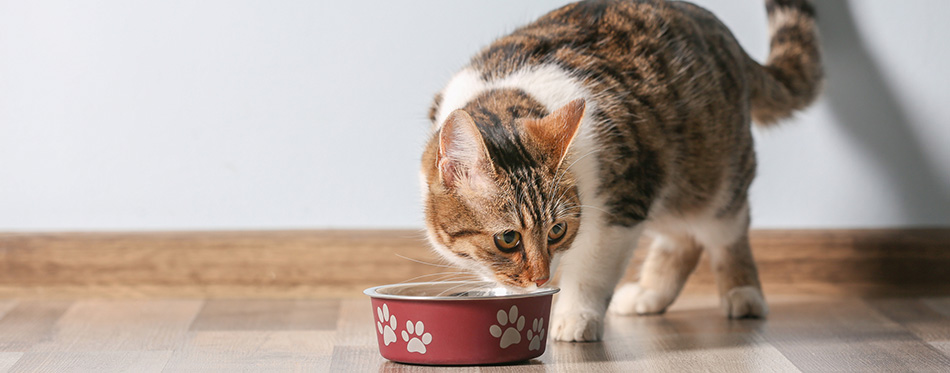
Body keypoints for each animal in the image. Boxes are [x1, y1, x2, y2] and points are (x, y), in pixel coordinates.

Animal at [420, 0, 820, 340]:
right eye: (507, 239)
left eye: (557, 231)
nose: (541, 278)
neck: (508, 94)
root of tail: (730, 42)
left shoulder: (623, 199)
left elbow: (592, 266)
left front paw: (574, 316)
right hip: (666, 179)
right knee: (683, 237)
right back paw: (649, 293)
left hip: (709, 172)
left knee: (725, 227)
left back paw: (744, 292)